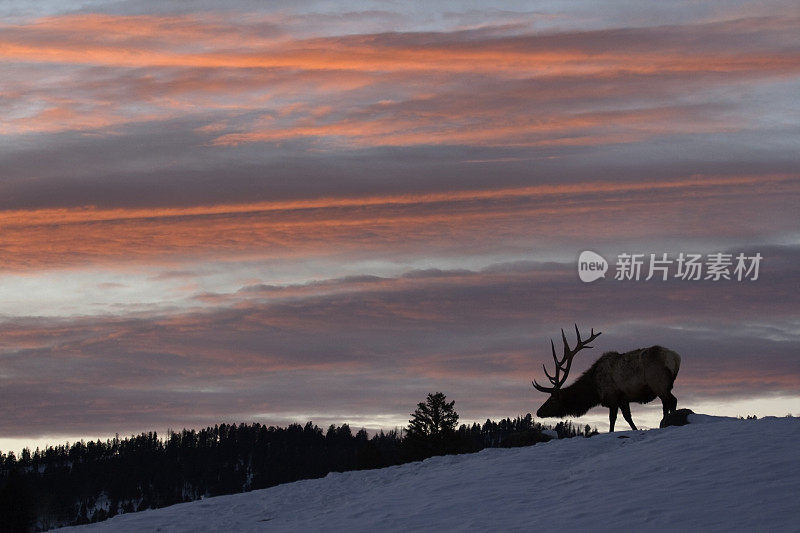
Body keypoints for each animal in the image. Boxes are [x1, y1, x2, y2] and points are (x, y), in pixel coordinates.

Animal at [532, 324, 680, 432]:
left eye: (552, 399)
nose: (539, 412)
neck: (595, 389)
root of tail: (675, 357)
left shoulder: (612, 396)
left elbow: (612, 419)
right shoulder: (623, 399)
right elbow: (628, 418)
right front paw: (635, 429)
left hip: (658, 382)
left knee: (672, 400)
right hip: (664, 385)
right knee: (666, 404)